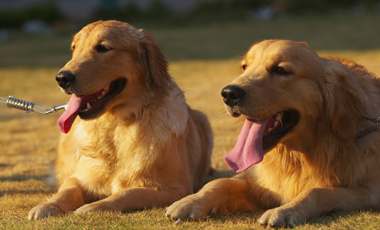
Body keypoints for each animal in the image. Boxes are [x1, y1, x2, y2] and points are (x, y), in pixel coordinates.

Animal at [29, 20, 214, 220]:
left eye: (103, 48)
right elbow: (67, 190)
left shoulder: (176, 189)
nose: (62, 78)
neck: (116, 124)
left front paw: (93, 207)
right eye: (74, 47)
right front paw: (48, 205)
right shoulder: (78, 177)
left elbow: (127, 193)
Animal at [166, 39, 380, 226]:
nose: (228, 93)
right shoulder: (258, 182)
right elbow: (219, 182)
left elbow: (318, 192)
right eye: (244, 67)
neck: (298, 156)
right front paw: (190, 201)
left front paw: (285, 210)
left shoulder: (370, 191)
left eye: (281, 70)